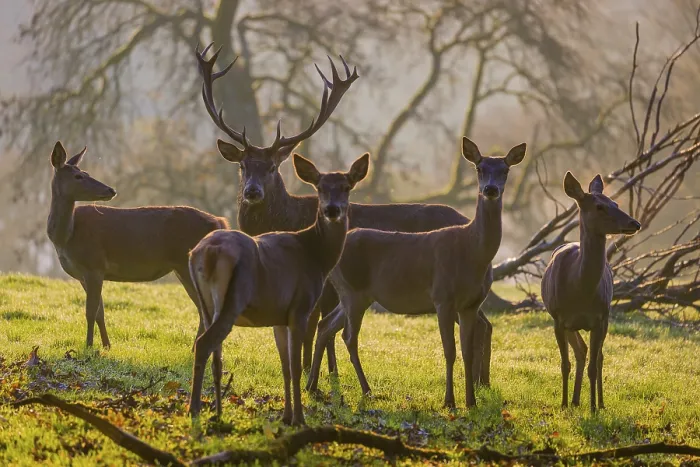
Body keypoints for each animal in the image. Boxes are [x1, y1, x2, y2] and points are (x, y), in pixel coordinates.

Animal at [47, 141, 228, 348]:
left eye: (85, 172)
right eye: (78, 175)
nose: (110, 190)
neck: (67, 237)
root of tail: (219, 222)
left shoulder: (94, 265)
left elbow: (90, 311)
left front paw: (89, 346)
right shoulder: (83, 275)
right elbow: (100, 311)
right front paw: (106, 345)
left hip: (187, 264)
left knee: (207, 309)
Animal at [188, 152, 369, 425]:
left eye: (347, 187)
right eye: (320, 187)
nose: (332, 209)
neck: (316, 256)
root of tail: (205, 253)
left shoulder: (278, 317)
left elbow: (284, 366)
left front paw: (286, 416)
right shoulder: (300, 307)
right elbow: (295, 367)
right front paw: (299, 419)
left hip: (206, 304)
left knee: (214, 352)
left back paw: (216, 412)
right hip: (234, 299)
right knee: (204, 344)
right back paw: (194, 409)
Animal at [196, 43, 493, 385]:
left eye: (272, 167)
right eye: (242, 166)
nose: (252, 192)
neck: (289, 220)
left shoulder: (321, 286)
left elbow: (312, 331)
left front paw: (313, 374)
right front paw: (330, 374)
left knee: (482, 324)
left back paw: (480, 382)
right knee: (485, 322)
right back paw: (482, 382)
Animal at [306, 138, 526, 409]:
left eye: (505, 170)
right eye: (479, 168)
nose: (490, 189)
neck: (472, 250)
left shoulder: (471, 304)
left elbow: (466, 350)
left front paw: (471, 402)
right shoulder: (442, 297)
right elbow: (449, 351)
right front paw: (449, 401)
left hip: (357, 294)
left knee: (326, 325)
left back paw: (312, 386)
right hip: (352, 290)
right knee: (348, 335)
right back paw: (366, 390)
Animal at [541, 172, 641, 412]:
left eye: (615, 203)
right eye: (599, 206)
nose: (635, 223)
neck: (580, 289)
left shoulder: (600, 318)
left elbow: (594, 367)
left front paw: (594, 407)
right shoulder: (558, 318)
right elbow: (564, 363)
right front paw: (563, 404)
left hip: (604, 319)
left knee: (598, 356)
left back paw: (598, 403)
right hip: (569, 324)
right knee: (581, 351)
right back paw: (575, 401)